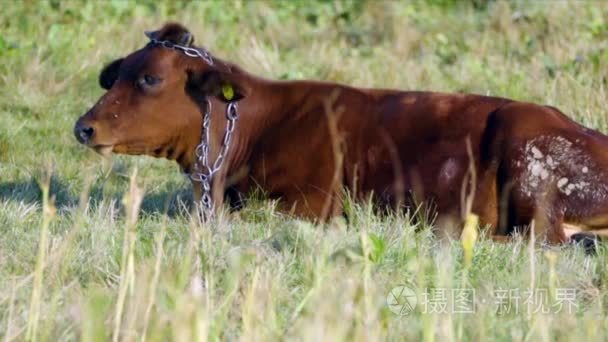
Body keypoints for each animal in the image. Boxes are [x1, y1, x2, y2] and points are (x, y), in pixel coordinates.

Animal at [75, 22, 608, 244]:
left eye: (149, 79)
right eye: (117, 73)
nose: (84, 127)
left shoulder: (313, 203)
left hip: (531, 160)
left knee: (542, 239)